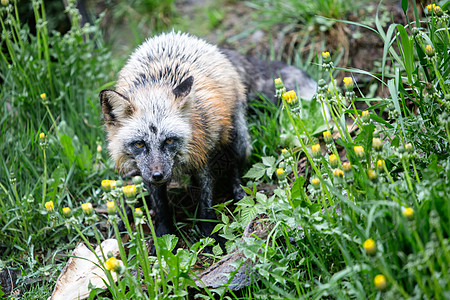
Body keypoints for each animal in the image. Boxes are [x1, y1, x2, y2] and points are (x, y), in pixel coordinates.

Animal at [99, 31, 316, 244]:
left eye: (169, 140)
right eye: (139, 144)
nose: (158, 175)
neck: (156, 86)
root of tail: (182, 37)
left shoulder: (204, 155)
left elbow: (206, 205)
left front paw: (211, 238)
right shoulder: (149, 173)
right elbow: (160, 207)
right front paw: (163, 234)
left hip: (236, 139)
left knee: (234, 168)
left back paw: (240, 195)